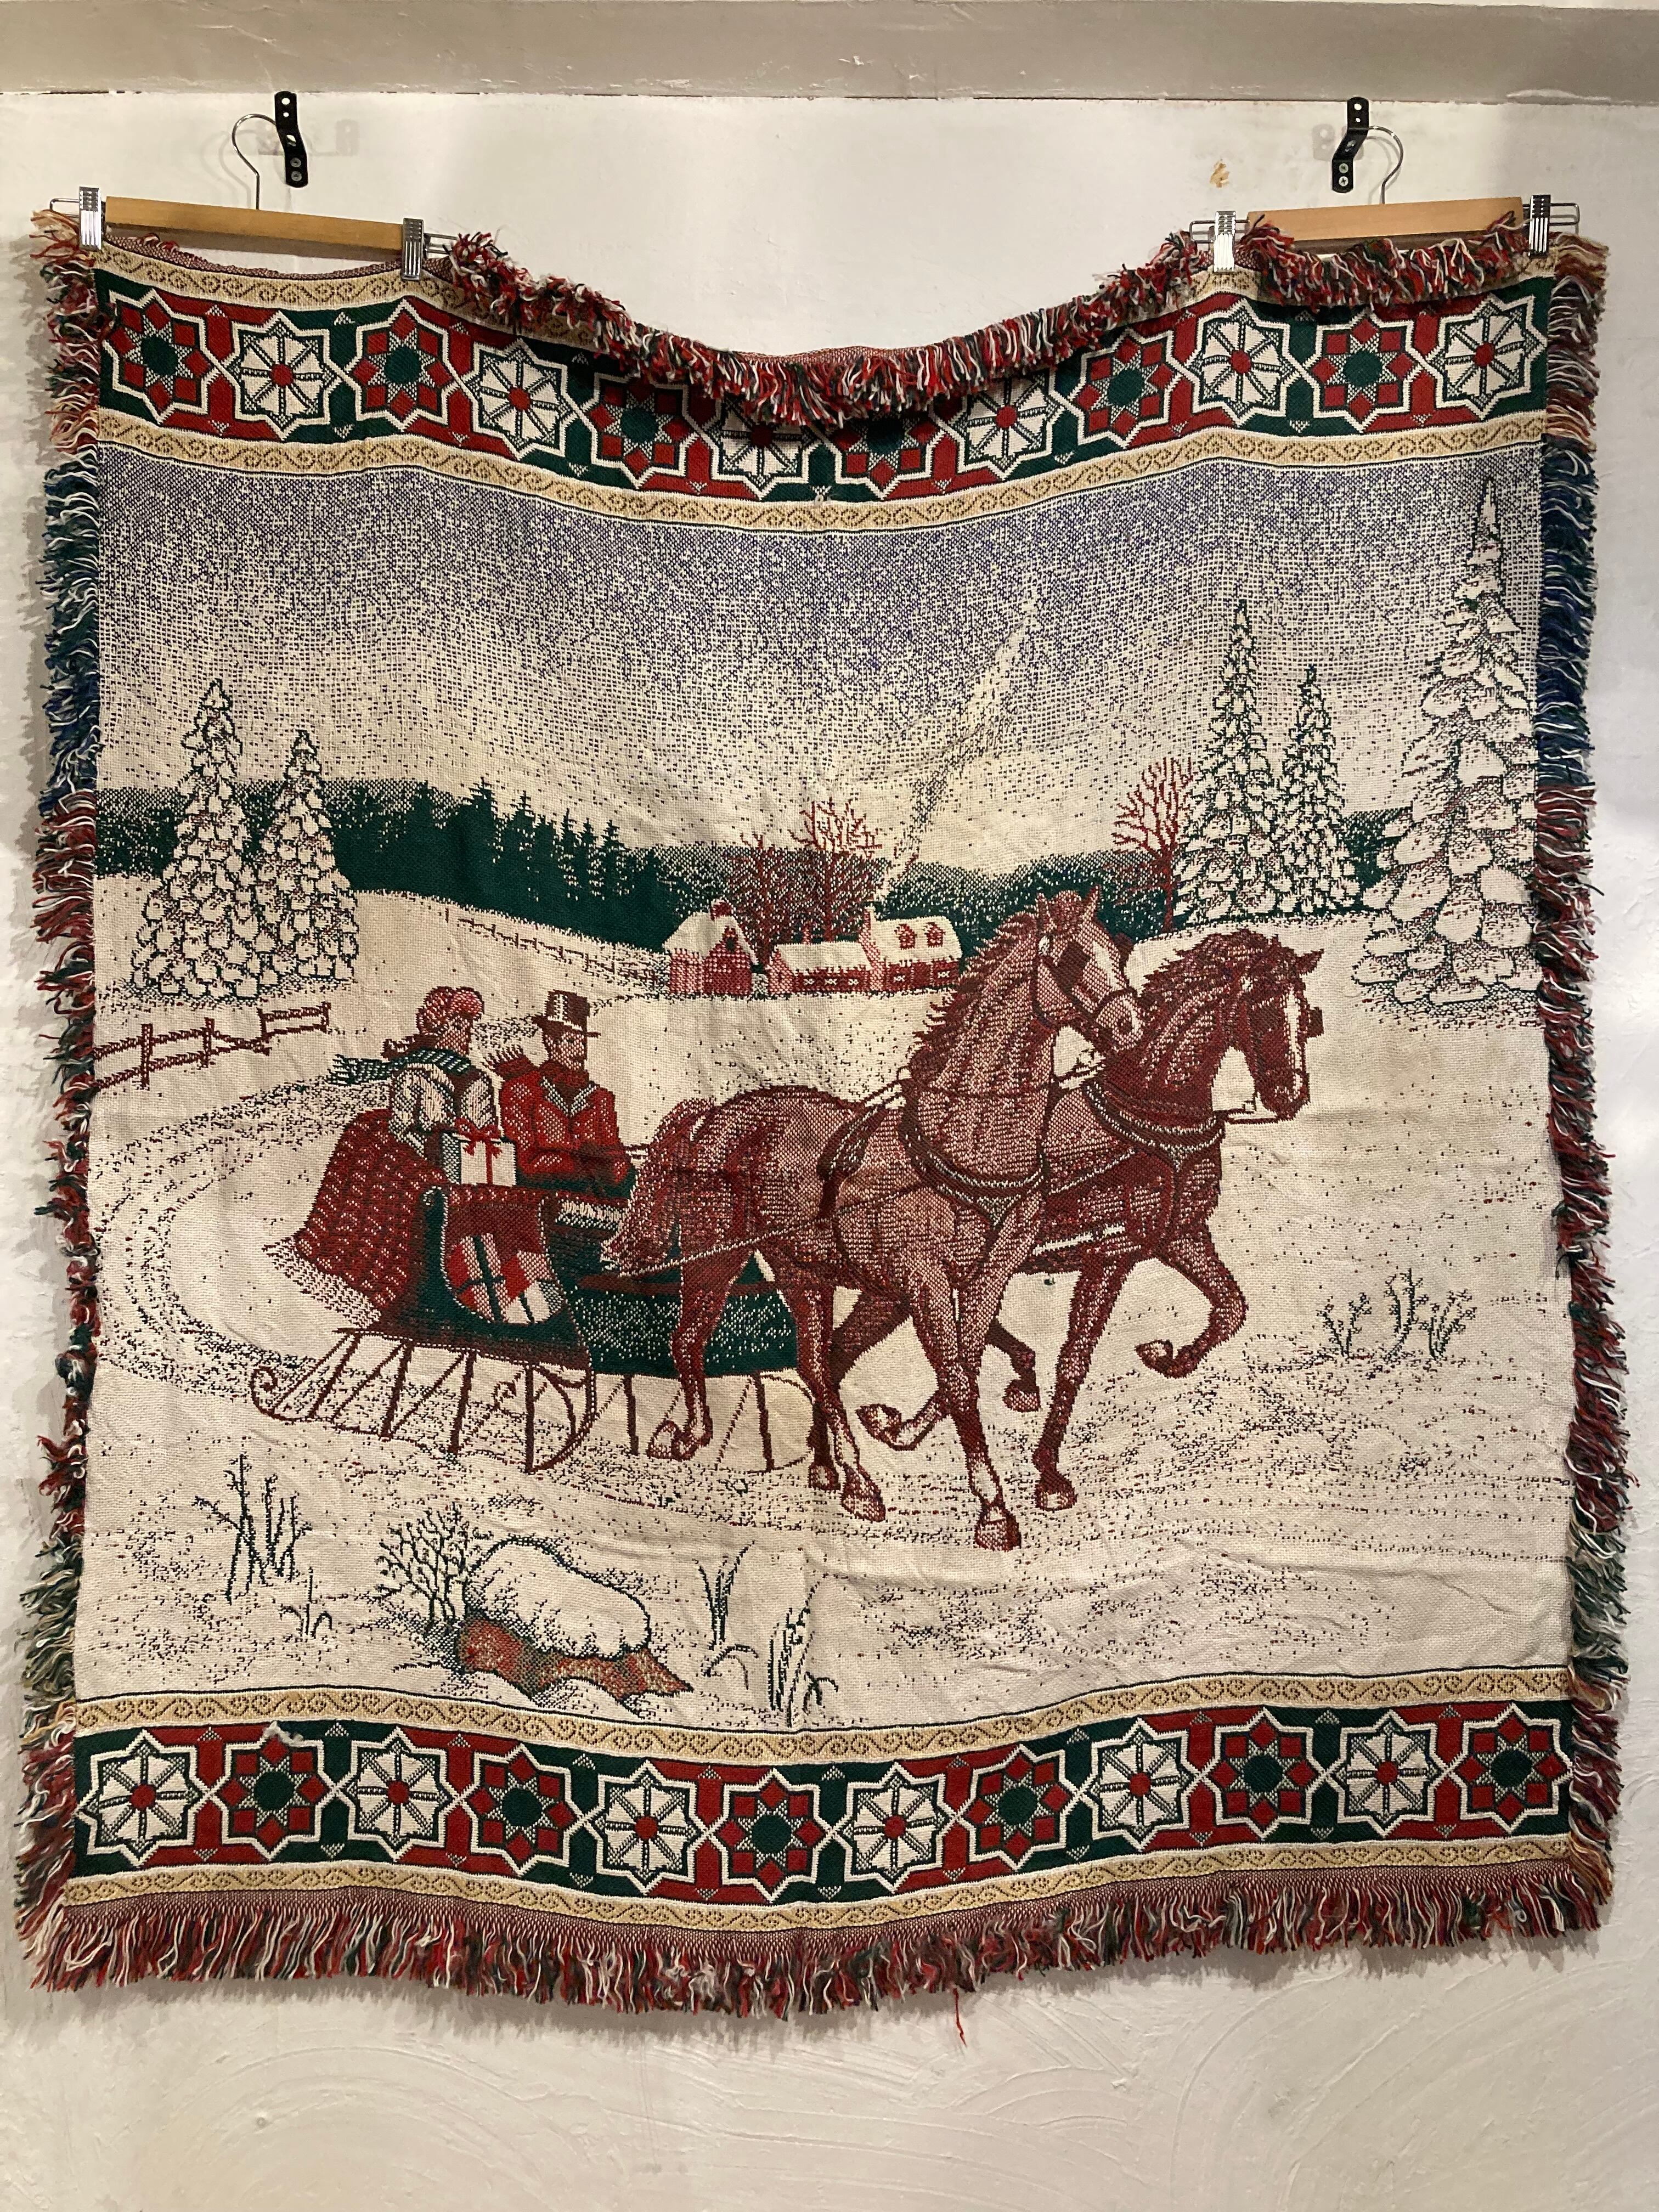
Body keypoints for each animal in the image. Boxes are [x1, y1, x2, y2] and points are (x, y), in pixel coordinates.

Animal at [606, 890, 1144, 1550]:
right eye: (1072, 959)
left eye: (1116, 949)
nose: (1132, 1028)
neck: (961, 1146)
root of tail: (717, 1116)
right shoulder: (924, 1282)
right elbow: (958, 1378)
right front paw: (993, 1509)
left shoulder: (987, 1276)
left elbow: (964, 1366)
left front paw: (900, 1431)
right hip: (719, 1252)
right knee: (695, 1341)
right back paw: (700, 1438)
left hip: (810, 1271)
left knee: (819, 1361)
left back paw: (836, 1470)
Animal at [855, 930, 1323, 1508]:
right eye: (1261, 1010)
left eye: (1305, 1014)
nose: (1290, 1096)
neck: (1148, 1116)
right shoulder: (1110, 1256)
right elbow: (1070, 1360)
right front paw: (1047, 1473)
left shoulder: (1179, 1237)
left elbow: (1231, 1308)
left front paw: (1169, 1357)